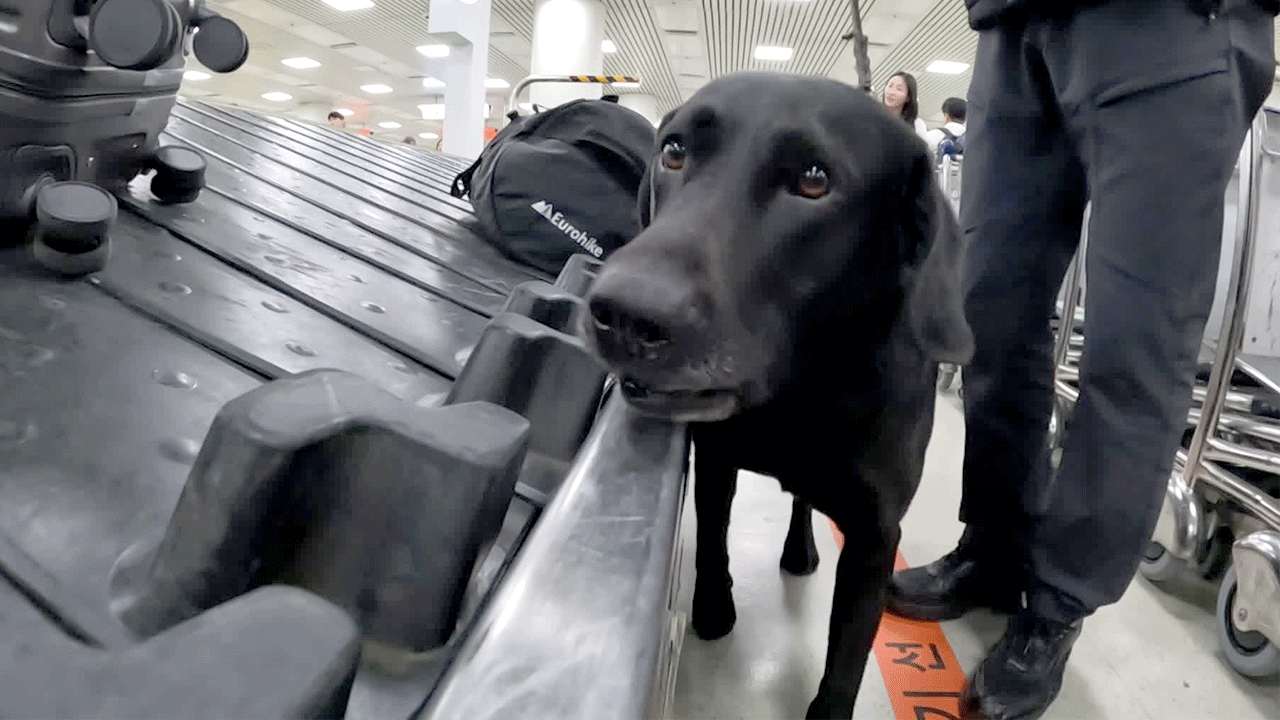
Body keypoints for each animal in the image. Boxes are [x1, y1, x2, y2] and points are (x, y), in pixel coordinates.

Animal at [581, 68, 967, 717]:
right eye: (674, 150)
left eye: (814, 180)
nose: (625, 315)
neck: (799, 392)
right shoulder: (714, 458)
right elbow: (712, 541)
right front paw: (713, 609)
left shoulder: (875, 540)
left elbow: (847, 658)